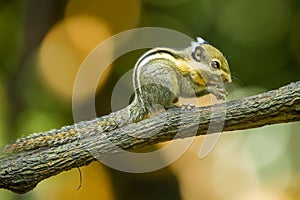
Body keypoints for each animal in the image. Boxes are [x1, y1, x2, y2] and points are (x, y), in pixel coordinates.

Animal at [2, 37, 232, 153]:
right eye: (215, 64)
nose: (229, 79)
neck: (193, 65)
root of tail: (141, 101)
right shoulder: (185, 79)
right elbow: (191, 89)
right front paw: (215, 89)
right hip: (166, 84)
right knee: (163, 106)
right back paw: (178, 106)